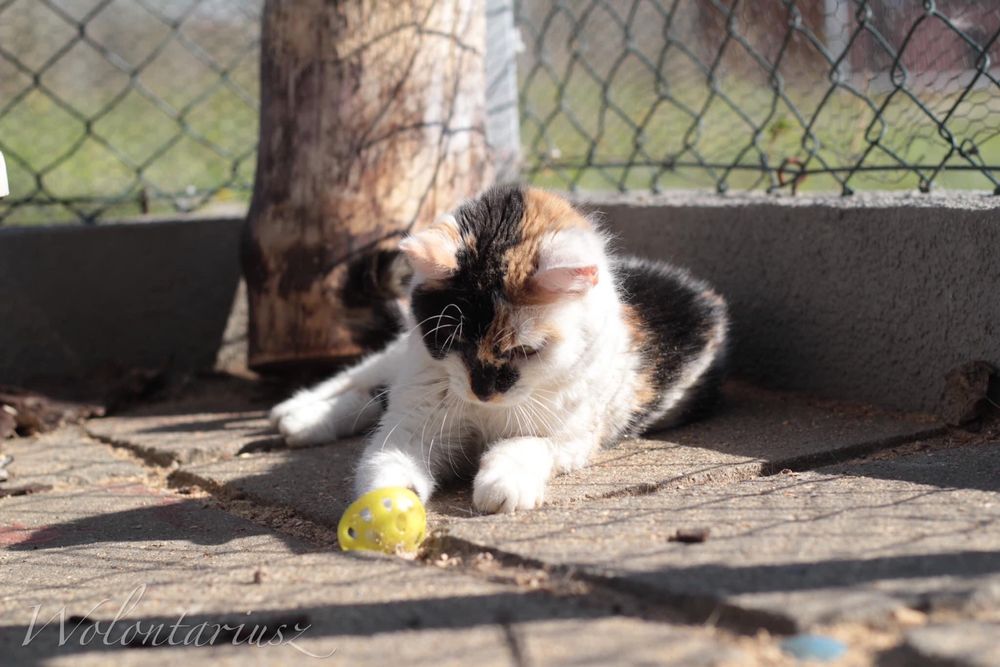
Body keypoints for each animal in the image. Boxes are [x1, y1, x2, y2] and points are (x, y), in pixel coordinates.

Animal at [274, 185, 728, 516]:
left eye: (526, 350)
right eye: (450, 338)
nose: (483, 390)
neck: (484, 416)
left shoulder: (574, 433)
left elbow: (526, 444)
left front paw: (502, 485)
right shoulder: (418, 416)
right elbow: (389, 456)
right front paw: (388, 505)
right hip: (405, 361)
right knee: (366, 378)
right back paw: (296, 414)